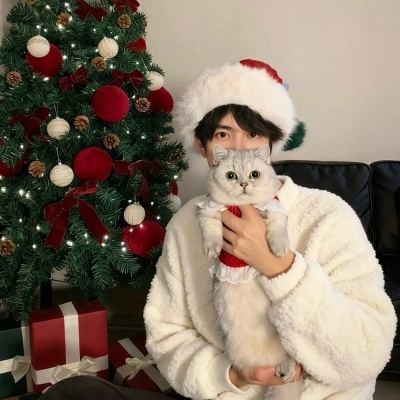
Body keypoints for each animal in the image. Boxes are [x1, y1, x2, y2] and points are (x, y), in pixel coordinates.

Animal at [196, 144, 303, 400]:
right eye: (231, 176)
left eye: (254, 174)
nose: (244, 184)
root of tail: (268, 359)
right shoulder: (208, 211)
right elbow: (210, 231)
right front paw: (212, 249)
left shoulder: (275, 211)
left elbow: (277, 230)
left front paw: (278, 249)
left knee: (291, 359)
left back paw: (285, 368)